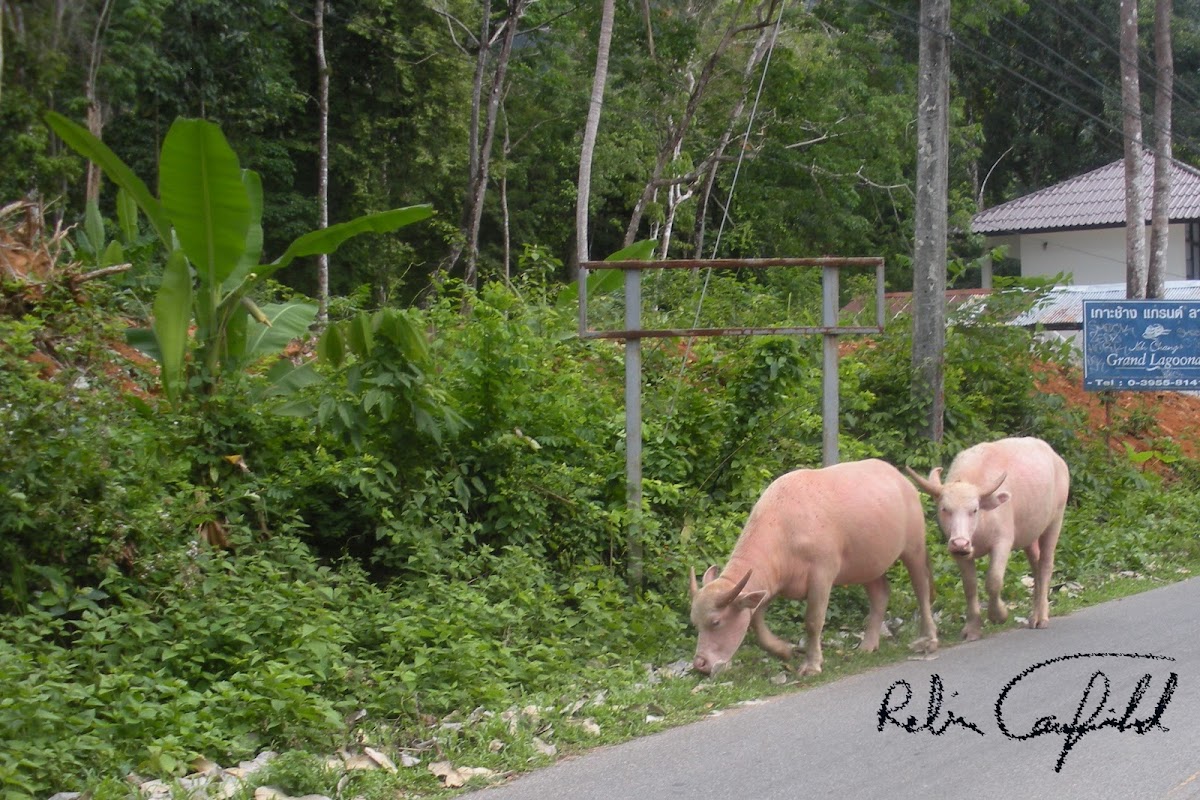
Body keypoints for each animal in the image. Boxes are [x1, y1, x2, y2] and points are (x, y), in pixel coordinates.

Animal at [688, 458, 939, 677]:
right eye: (695, 623)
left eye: (716, 622)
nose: (700, 664)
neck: (785, 528)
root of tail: (901, 479)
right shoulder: (775, 582)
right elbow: (756, 621)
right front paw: (783, 650)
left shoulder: (822, 576)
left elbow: (813, 621)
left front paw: (812, 664)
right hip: (868, 563)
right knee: (880, 594)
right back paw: (868, 645)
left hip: (914, 547)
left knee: (921, 588)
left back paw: (929, 638)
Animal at [906, 436, 1070, 642]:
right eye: (945, 509)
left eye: (974, 509)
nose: (960, 543)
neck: (979, 527)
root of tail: (1058, 460)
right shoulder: (960, 554)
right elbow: (970, 586)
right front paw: (972, 628)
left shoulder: (1002, 543)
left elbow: (994, 580)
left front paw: (999, 615)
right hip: (1030, 535)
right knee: (1036, 565)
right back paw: (1034, 615)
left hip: (1056, 520)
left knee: (1046, 564)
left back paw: (1041, 618)